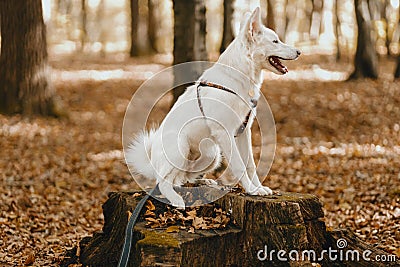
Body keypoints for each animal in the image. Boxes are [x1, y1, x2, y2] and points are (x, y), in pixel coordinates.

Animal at [126, 6, 300, 209]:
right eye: (275, 41)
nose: (299, 51)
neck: (238, 77)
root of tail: (153, 163)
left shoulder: (244, 132)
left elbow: (250, 164)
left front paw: (258, 188)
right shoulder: (225, 133)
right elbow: (239, 165)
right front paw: (251, 190)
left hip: (212, 155)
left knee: (183, 176)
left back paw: (202, 181)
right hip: (181, 147)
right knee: (164, 181)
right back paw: (176, 199)